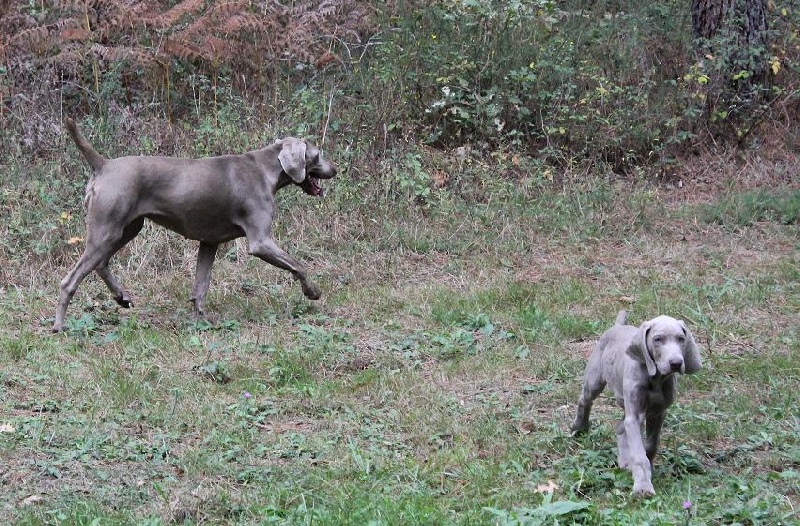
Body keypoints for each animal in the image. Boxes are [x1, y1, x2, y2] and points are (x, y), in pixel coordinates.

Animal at [51, 119, 336, 334]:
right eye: (318, 155)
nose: (336, 169)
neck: (265, 169)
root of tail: (104, 164)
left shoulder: (209, 242)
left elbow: (201, 285)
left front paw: (202, 320)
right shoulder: (260, 241)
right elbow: (299, 265)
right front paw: (313, 291)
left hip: (127, 228)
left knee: (101, 263)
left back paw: (121, 297)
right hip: (107, 230)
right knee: (69, 281)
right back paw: (59, 326)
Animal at [568, 312, 700, 502]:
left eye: (681, 338)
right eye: (657, 339)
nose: (676, 363)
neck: (656, 379)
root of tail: (617, 326)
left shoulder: (657, 413)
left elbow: (650, 446)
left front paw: (647, 469)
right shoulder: (635, 414)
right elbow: (639, 454)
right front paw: (643, 487)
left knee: (620, 426)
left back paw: (624, 459)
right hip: (594, 381)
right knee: (585, 401)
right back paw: (579, 427)